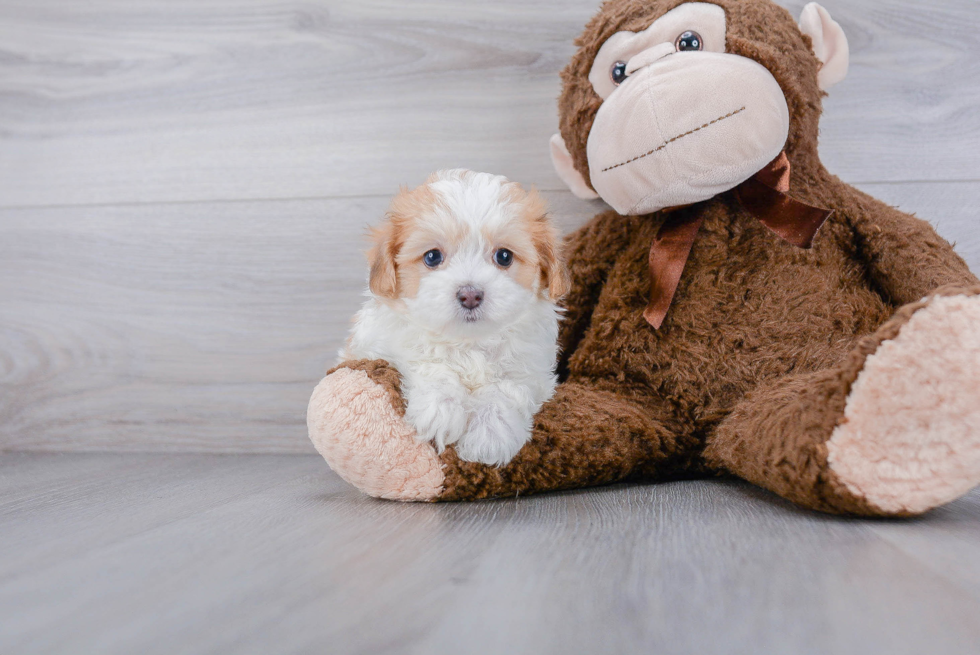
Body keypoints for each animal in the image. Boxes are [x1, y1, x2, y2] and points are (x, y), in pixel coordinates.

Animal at [340, 169, 572, 466]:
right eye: (432, 257)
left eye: (504, 256)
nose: (470, 295)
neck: (468, 342)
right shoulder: (381, 347)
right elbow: (429, 364)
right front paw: (442, 409)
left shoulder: (532, 368)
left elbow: (505, 388)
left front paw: (491, 433)